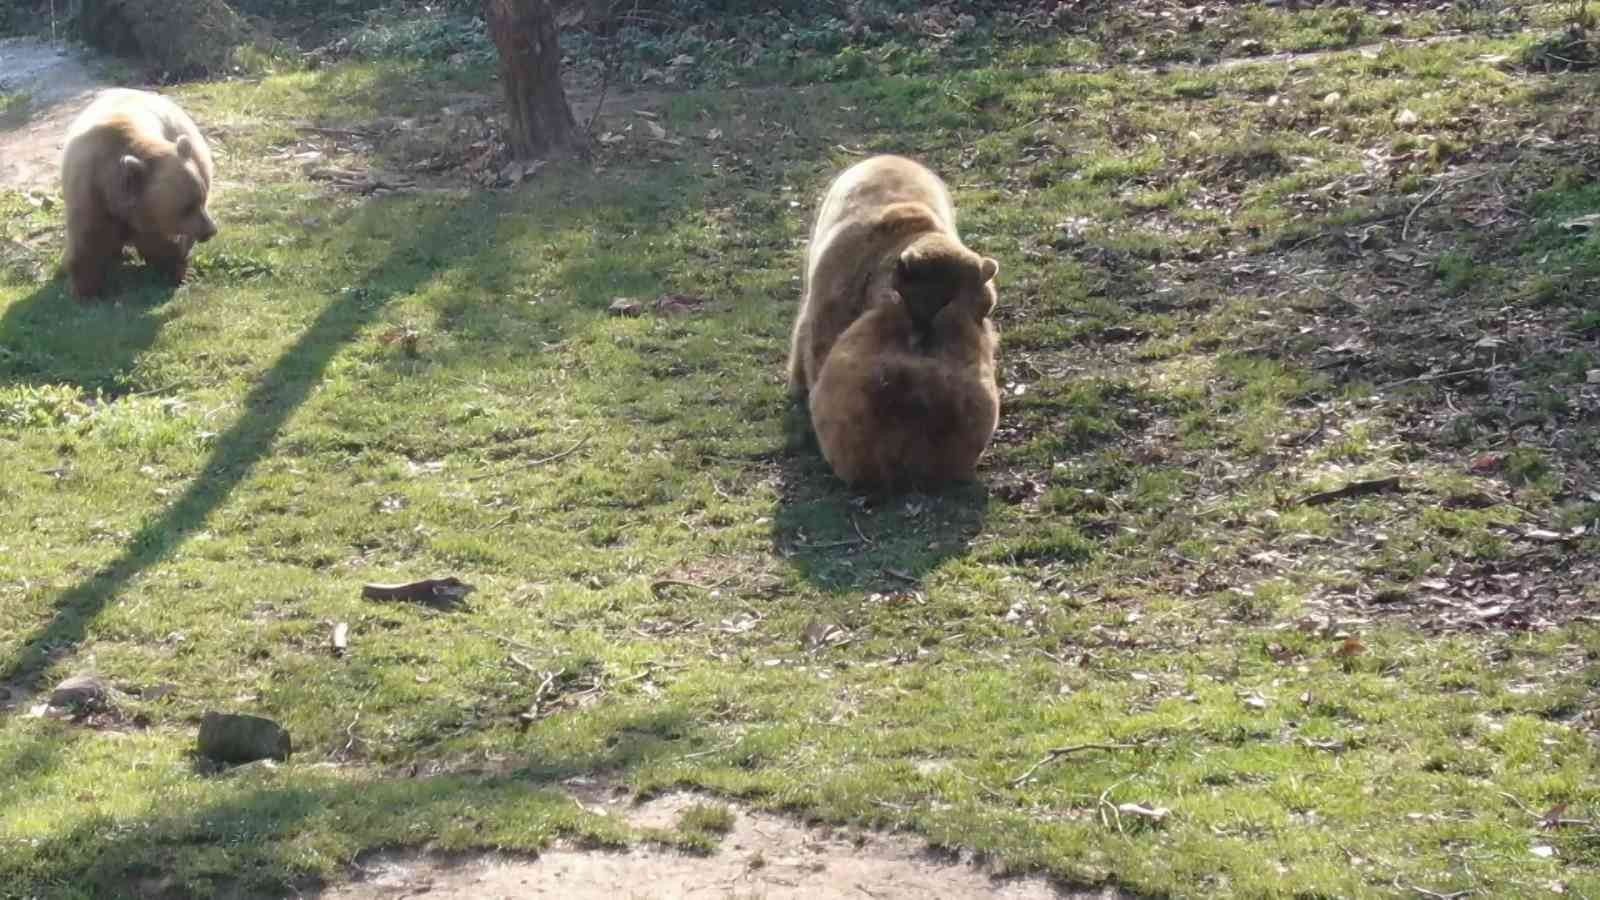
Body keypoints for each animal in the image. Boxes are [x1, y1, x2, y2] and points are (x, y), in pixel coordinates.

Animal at [60, 87, 219, 297]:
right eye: (187, 206)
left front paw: (175, 270)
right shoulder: (89, 190)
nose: (210, 230)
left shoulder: (150, 216)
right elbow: (87, 241)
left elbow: (161, 244)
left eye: (201, 198)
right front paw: (86, 289)